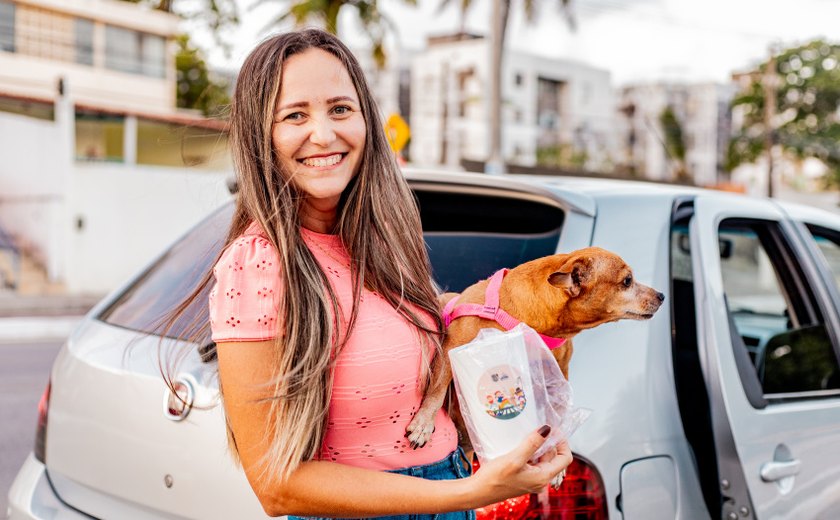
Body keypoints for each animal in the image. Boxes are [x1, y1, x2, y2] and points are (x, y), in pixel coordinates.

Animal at [406, 246, 664, 448]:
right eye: (627, 281)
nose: (661, 295)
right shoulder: (451, 349)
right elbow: (437, 389)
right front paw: (424, 423)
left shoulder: (557, 373)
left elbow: (556, 412)